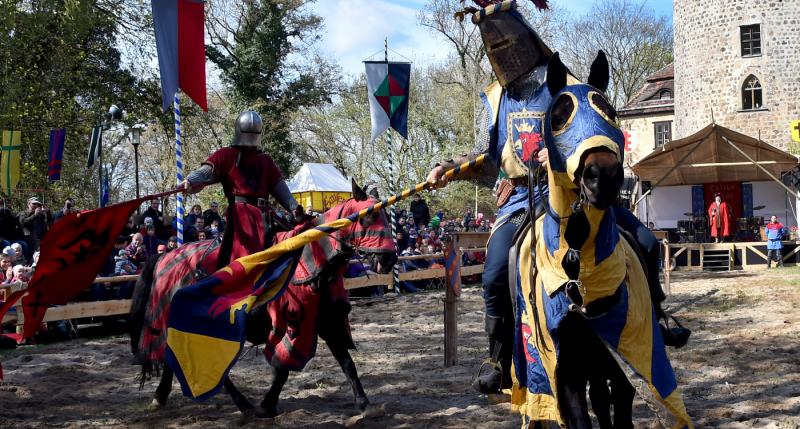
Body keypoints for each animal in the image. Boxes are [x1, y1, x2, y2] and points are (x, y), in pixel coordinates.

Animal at [129, 180, 400, 414]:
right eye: (368, 217)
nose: (388, 259)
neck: (309, 261)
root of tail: (166, 255)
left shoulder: (327, 321)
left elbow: (347, 363)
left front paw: (364, 403)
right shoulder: (289, 323)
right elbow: (282, 369)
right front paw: (267, 404)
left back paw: (163, 395)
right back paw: (240, 403)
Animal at [512, 51, 692, 428]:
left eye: (609, 111)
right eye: (558, 116)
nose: (604, 176)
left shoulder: (618, 359)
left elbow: (619, 405)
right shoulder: (566, 372)